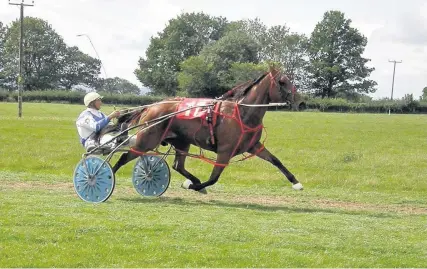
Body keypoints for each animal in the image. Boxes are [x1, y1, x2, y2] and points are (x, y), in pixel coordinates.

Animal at [110, 67, 304, 193]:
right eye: (282, 82)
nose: (301, 102)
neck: (242, 113)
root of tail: (151, 106)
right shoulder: (225, 151)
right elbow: (213, 178)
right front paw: (194, 186)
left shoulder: (254, 146)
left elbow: (276, 161)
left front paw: (296, 182)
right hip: (146, 141)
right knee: (124, 157)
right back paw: (108, 175)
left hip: (181, 143)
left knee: (177, 165)